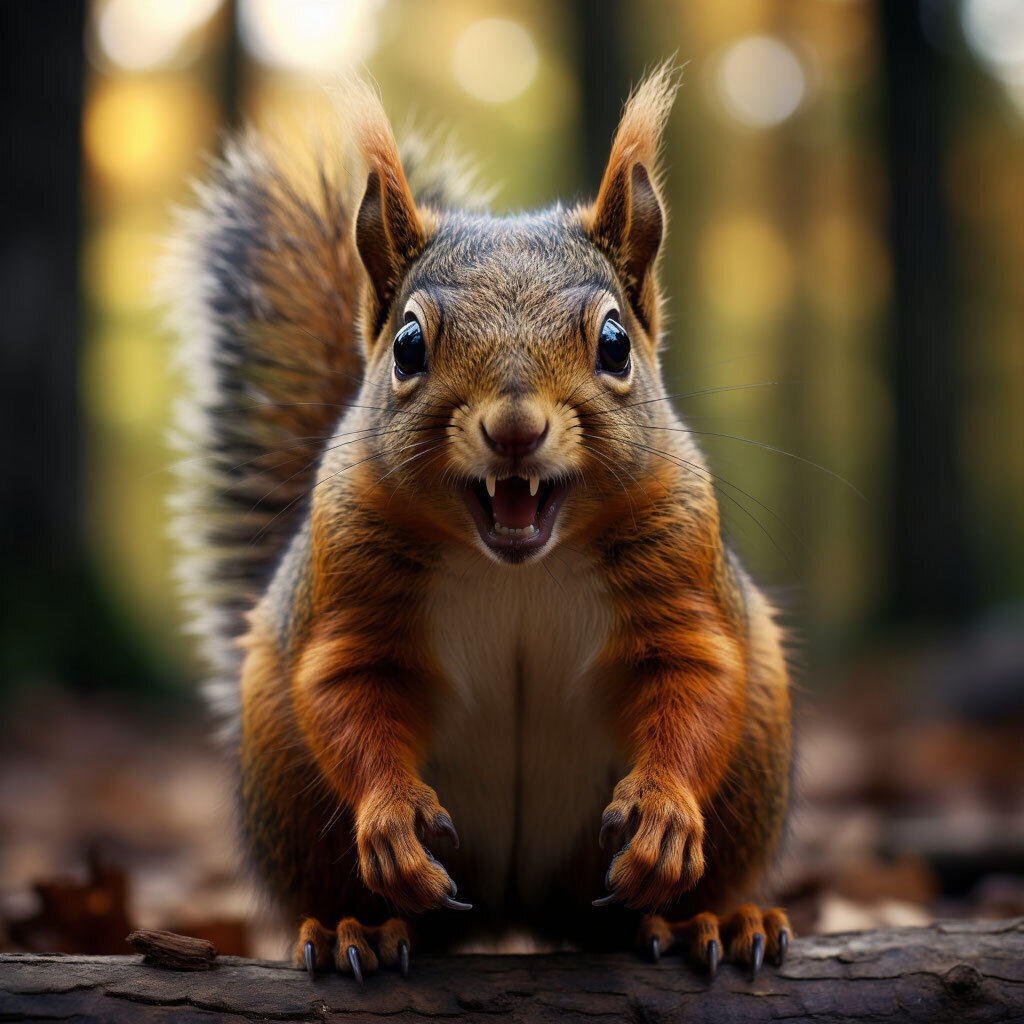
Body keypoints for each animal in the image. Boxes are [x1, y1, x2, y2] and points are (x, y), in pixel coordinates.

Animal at [166, 65, 792, 981]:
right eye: (408, 347)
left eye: (615, 343)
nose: (515, 428)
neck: (518, 567)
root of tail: (518, 913)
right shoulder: (351, 592)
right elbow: (348, 695)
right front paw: (392, 819)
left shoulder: (680, 574)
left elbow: (696, 681)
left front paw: (665, 813)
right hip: (291, 798)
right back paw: (357, 930)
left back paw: (712, 919)